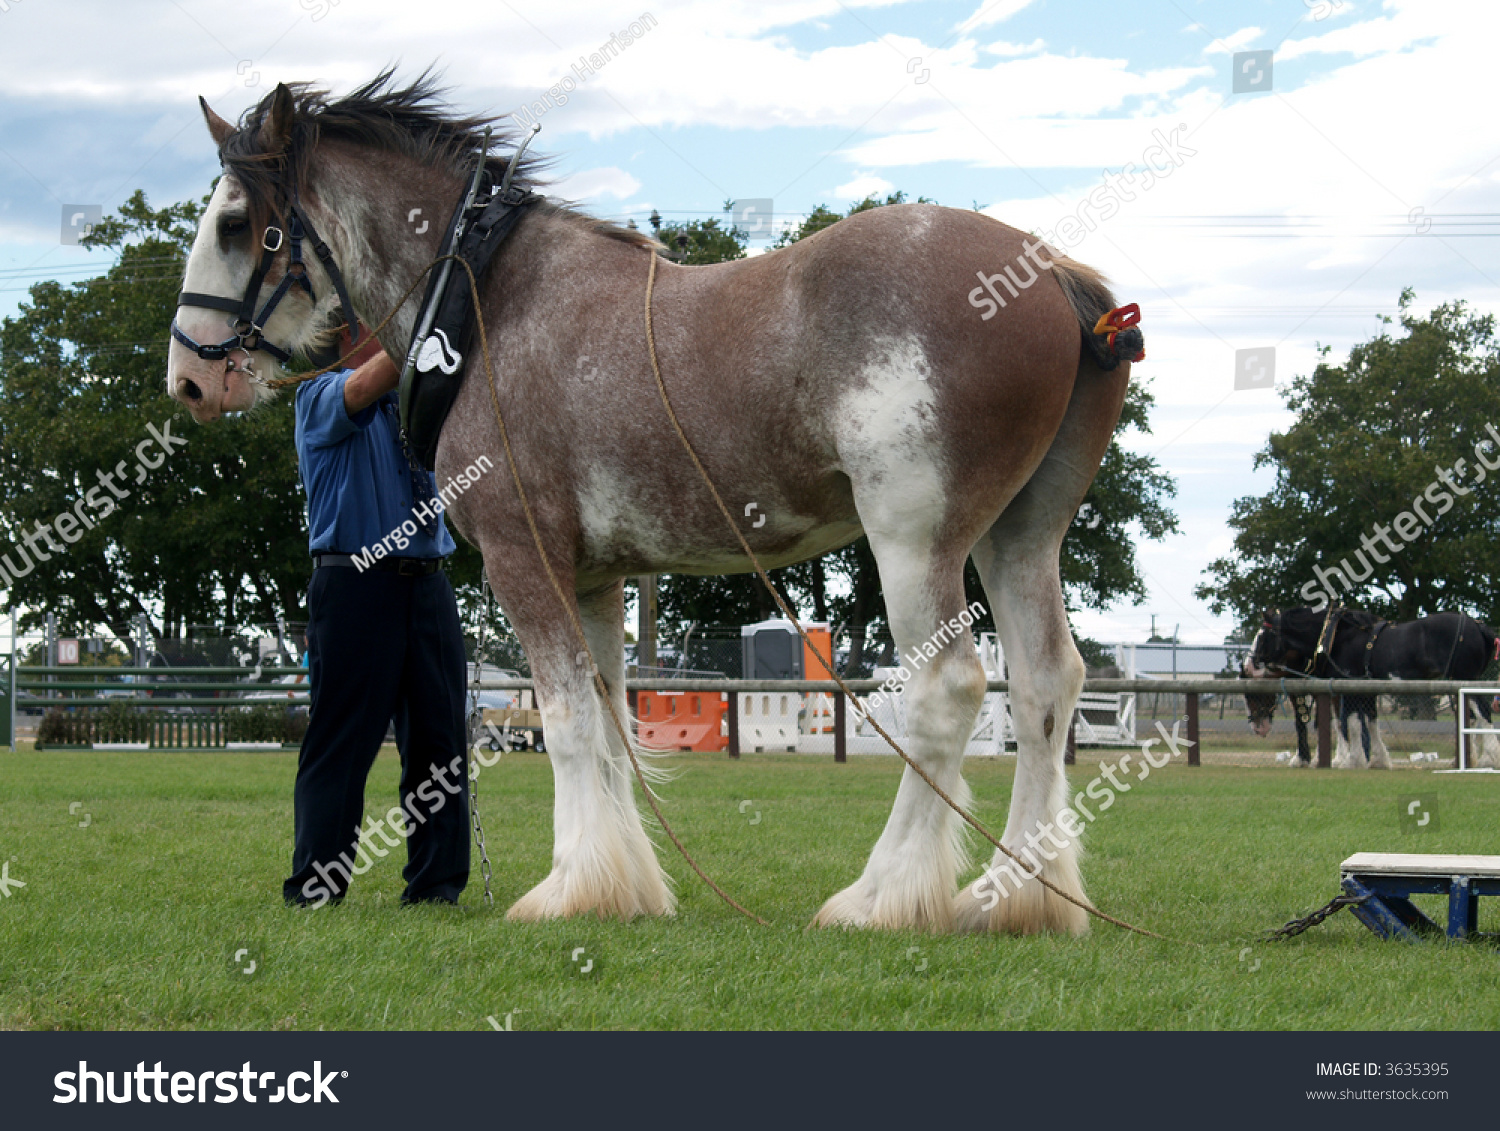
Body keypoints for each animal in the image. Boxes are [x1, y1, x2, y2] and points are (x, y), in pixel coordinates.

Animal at [164, 75, 1134, 930]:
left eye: (237, 223)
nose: (188, 379)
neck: (486, 305)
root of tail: (1052, 274)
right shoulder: (595, 580)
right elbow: (606, 722)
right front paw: (617, 884)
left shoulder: (523, 558)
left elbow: (564, 725)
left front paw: (566, 889)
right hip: (1019, 538)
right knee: (1044, 685)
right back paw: (1017, 899)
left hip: (913, 539)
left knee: (948, 690)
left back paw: (881, 897)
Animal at [1236, 609, 1494, 768]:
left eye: (1263, 635)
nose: (1249, 664)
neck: (1336, 638)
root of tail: (1478, 626)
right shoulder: (1363, 691)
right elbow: (1367, 722)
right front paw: (1377, 760)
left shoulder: (1348, 690)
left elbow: (1347, 723)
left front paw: (1350, 760)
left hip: (1464, 680)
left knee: (1483, 713)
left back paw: (1488, 759)